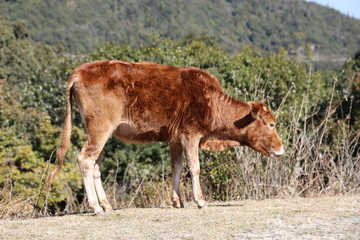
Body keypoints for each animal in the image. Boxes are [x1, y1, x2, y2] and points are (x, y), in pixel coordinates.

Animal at [48, 60, 284, 214]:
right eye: (271, 124)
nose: (281, 149)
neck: (211, 102)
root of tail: (80, 70)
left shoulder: (175, 139)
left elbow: (176, 167)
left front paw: (177, 201)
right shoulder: (190, 135)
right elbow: (194, 167)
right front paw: (200, 201)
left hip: (100, 133)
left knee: (95, 164)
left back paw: (106, 204)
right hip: (99, 128)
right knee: (85, 159)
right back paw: (96, 206)